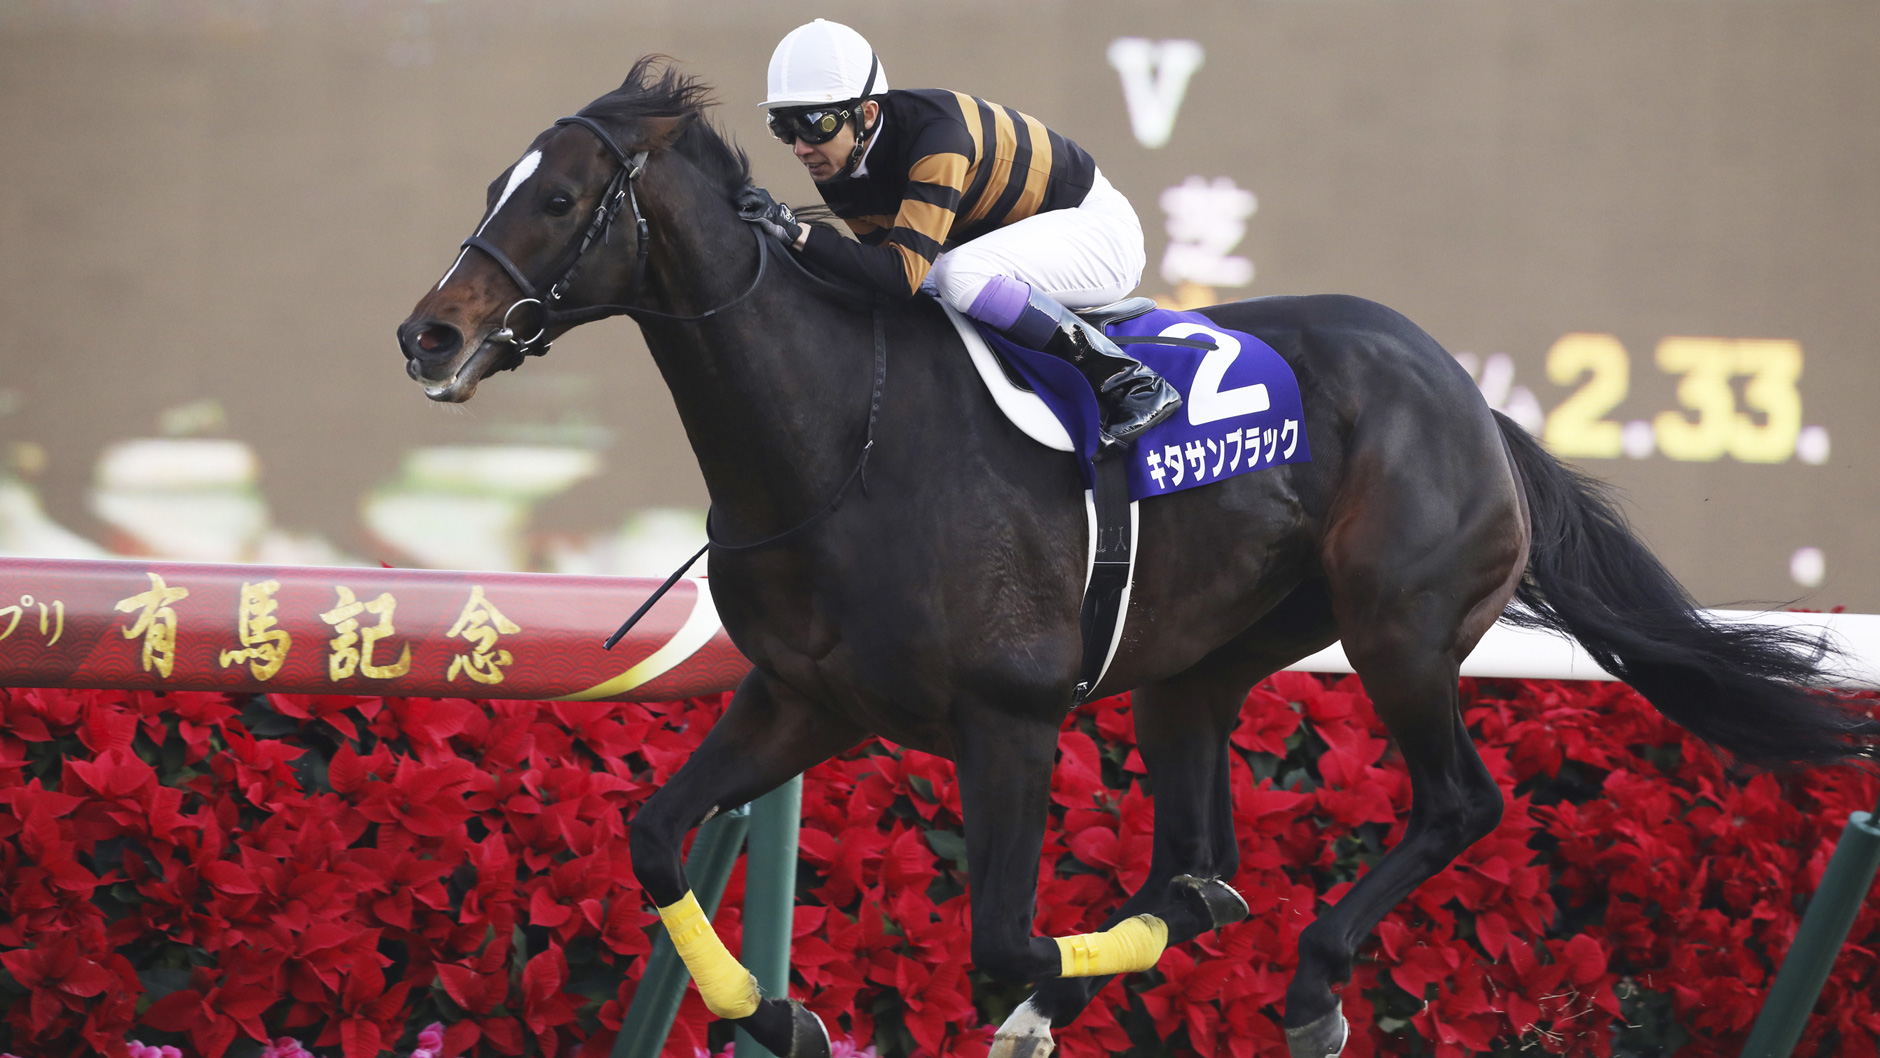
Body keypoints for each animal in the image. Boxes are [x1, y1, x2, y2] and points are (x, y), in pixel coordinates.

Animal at [396, 59, 1877, 1058]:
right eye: (491, 186)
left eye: (564, 197)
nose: (427, 333)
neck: (836, 443)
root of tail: (1470, 397)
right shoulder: (803, 697)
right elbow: (655, 835)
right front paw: (783, 1014)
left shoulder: (1008, 718)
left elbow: (999, 936)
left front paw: (1026, 996)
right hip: (1199, 665)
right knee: (1197, 857)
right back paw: (1185, 922)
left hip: (1398, 625)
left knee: (1456, 803)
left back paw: (1314, 982)